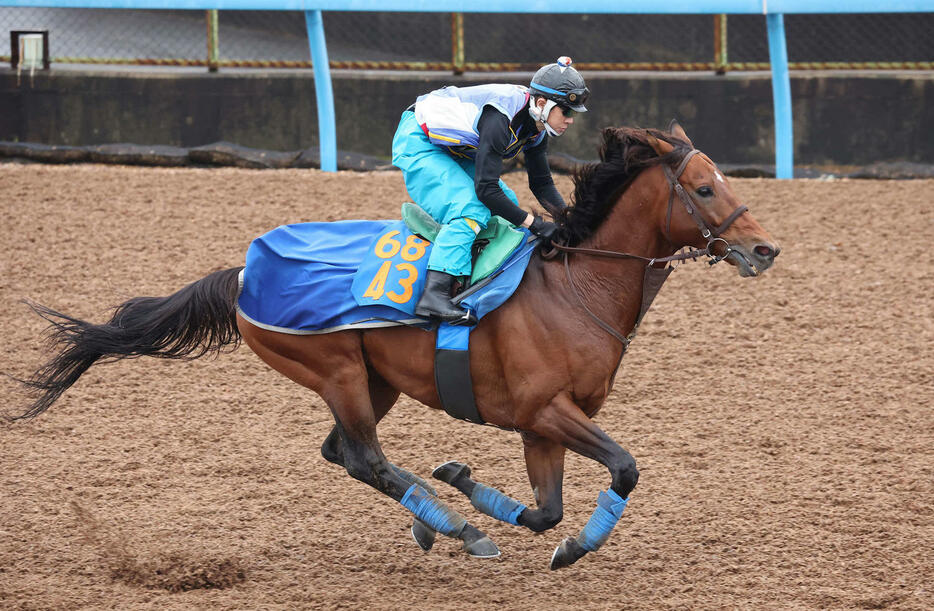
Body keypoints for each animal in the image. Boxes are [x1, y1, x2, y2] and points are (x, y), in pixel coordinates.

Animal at [14, 122, 780, 572]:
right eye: (705, 187)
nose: (764, 249)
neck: (574, 284)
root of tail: (246, 271)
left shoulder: (542, 423)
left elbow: (546, 510)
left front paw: (471, 484)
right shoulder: (546, 409)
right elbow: (622, 468)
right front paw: (558, 543)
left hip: (373, 379)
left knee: (343, 453)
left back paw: (435, 521)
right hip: (336, 371)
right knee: (362, 458)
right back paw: (456, 528)